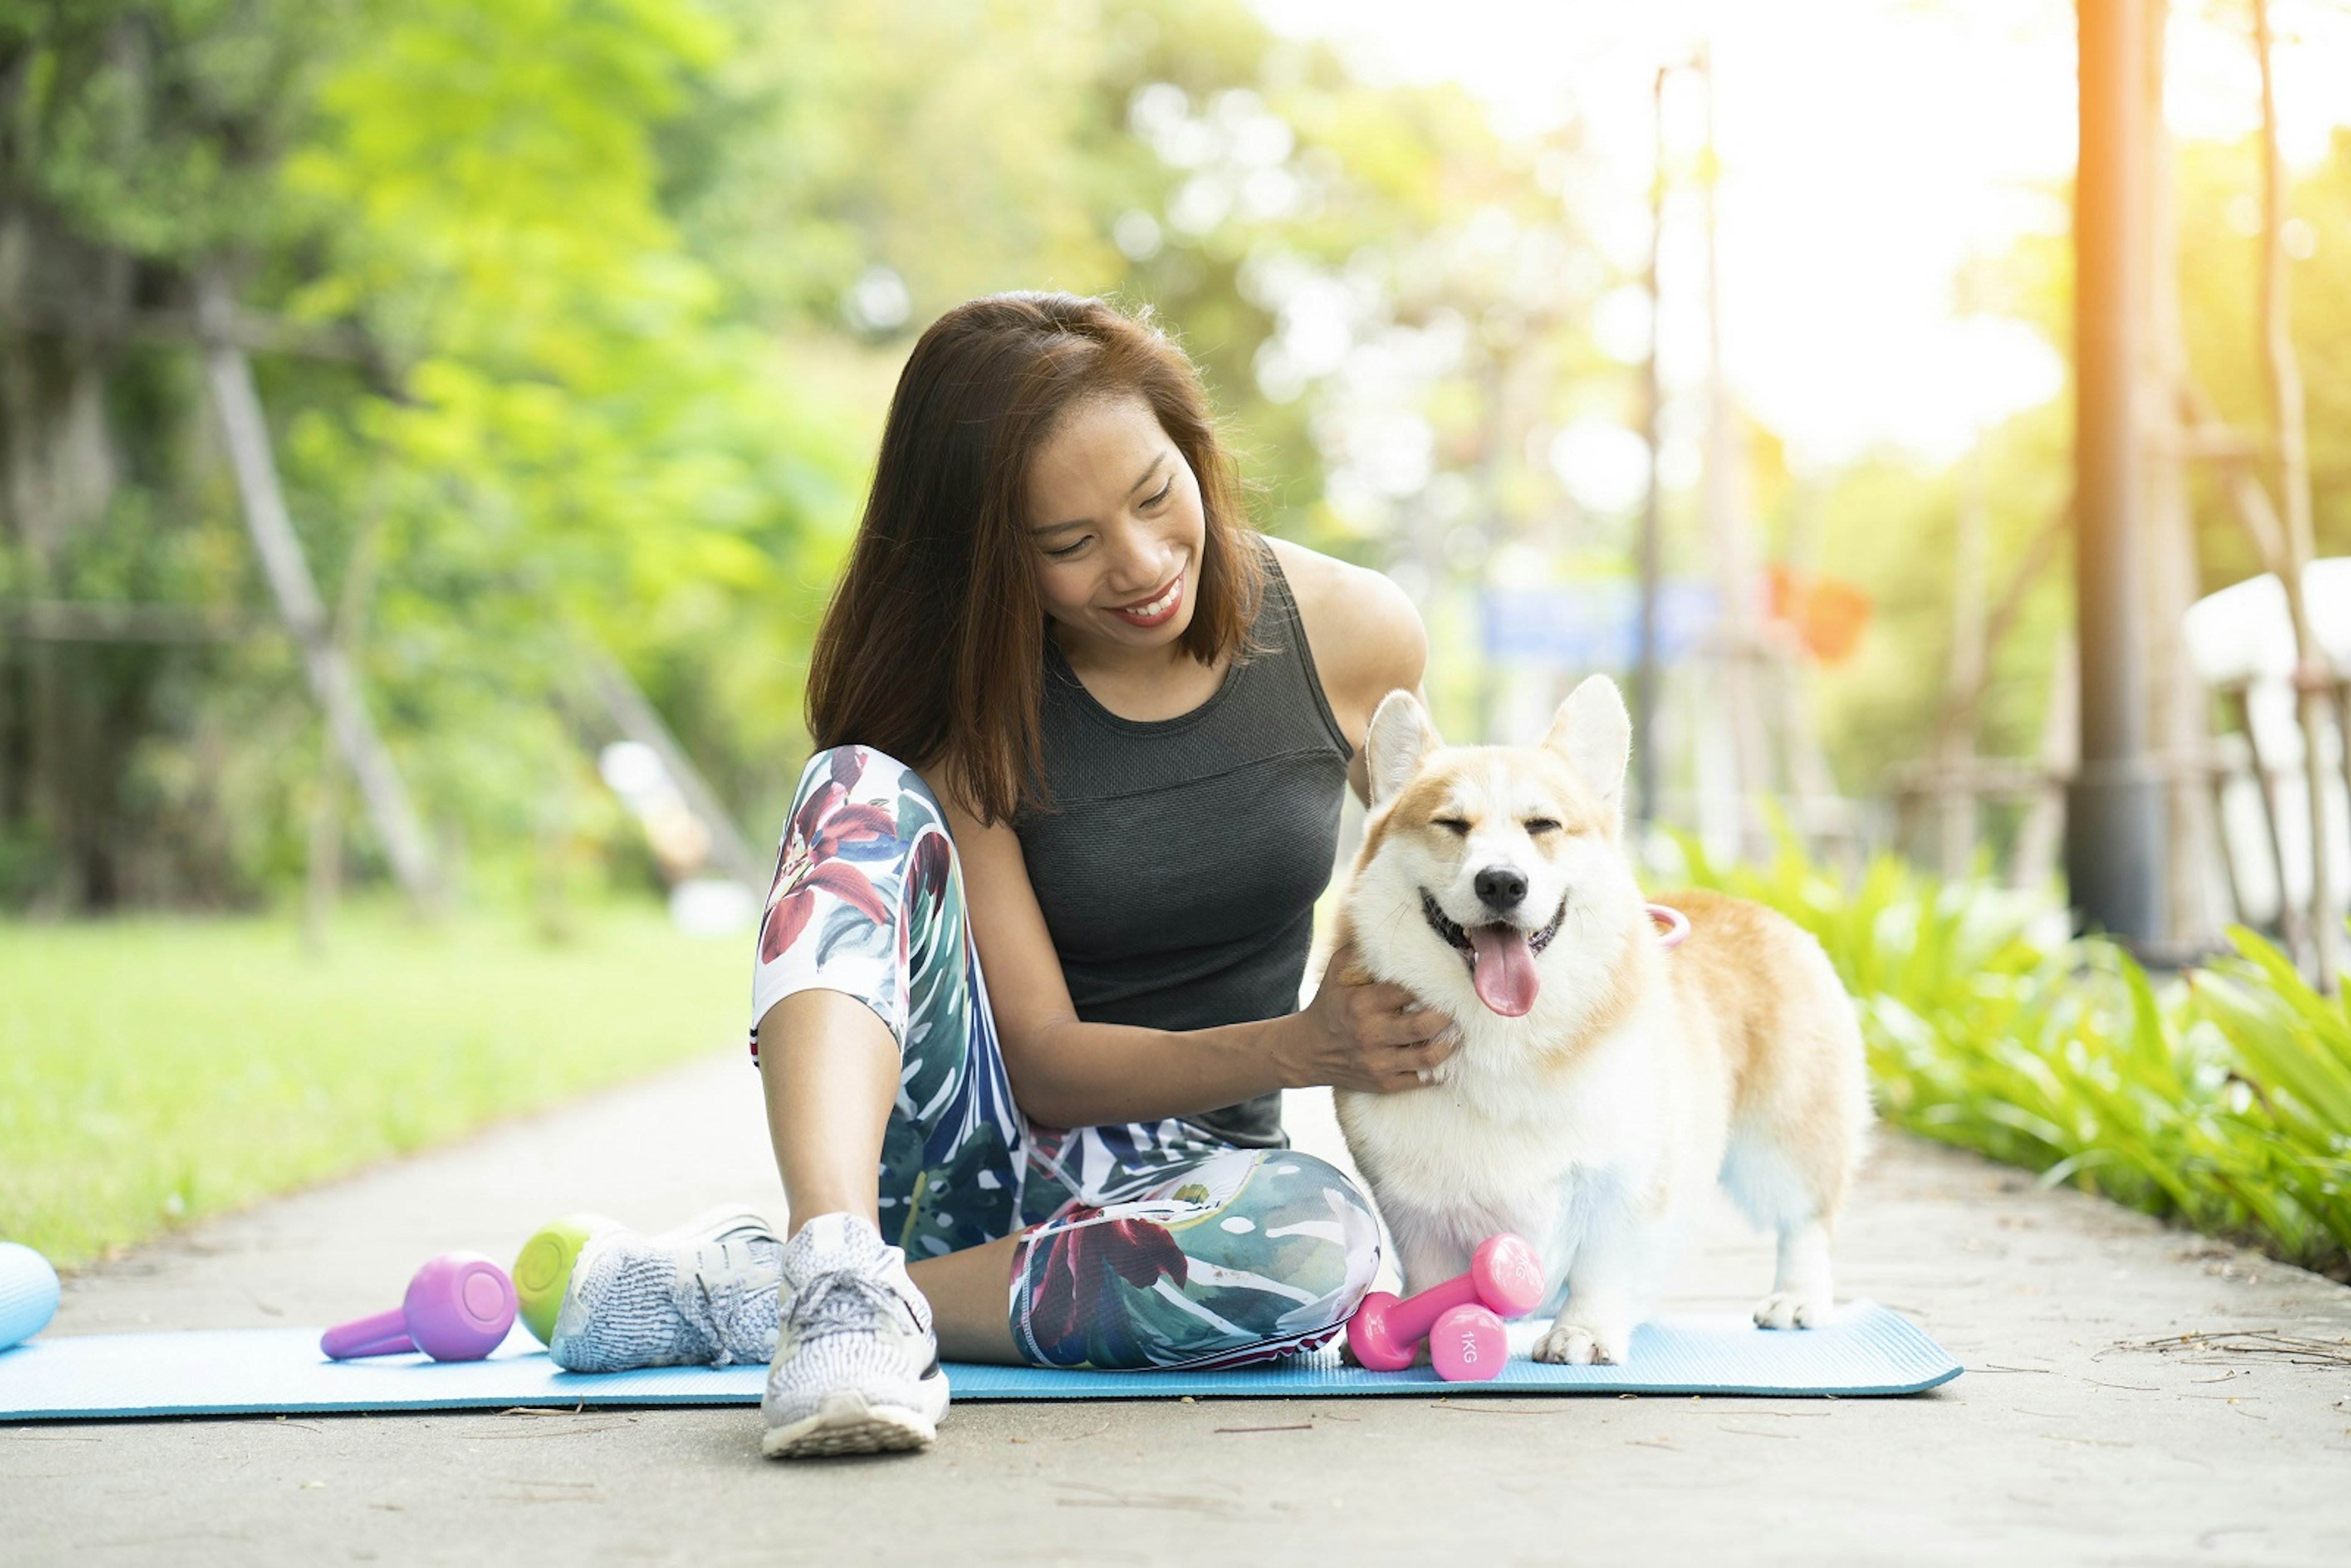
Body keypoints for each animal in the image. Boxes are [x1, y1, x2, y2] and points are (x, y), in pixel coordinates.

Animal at [1335, 681, 1862, 1363]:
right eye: (1451, 824)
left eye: (1543, 825)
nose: (1502, 882)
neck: (1503, 1038)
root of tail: (1756, 907)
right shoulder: (1415, 1207)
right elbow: (1435, 1278)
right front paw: (1420, 1337)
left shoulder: (1627, 1184)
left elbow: (1602, 1266)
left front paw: (1583, 1332)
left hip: (1784, 1138)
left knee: (1805, 1221)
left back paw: (1797, 1299)